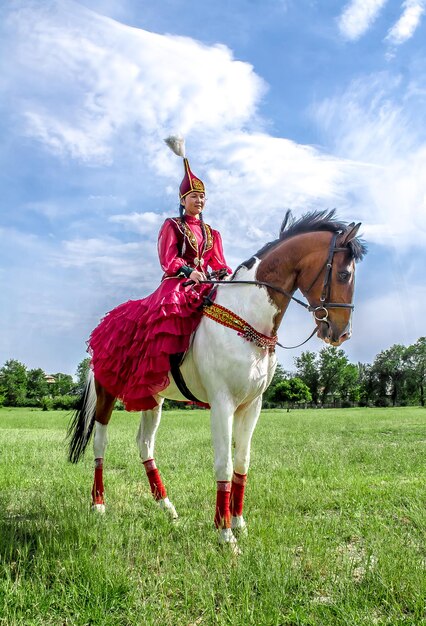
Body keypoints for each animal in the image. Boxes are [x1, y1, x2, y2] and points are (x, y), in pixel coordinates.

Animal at [67, 208, 366, 544]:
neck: (246, 317)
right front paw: (225, 534)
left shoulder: (251, 406)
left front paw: (238, 522)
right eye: (344, 274)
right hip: (107, 393)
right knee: (100, 443)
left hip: (152, 398)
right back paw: (99, 504)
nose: (341, 333)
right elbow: (223, 464)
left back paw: (167, 507)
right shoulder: (222, 403)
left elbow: (242, 462)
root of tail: (105, 324)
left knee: (144, 444)